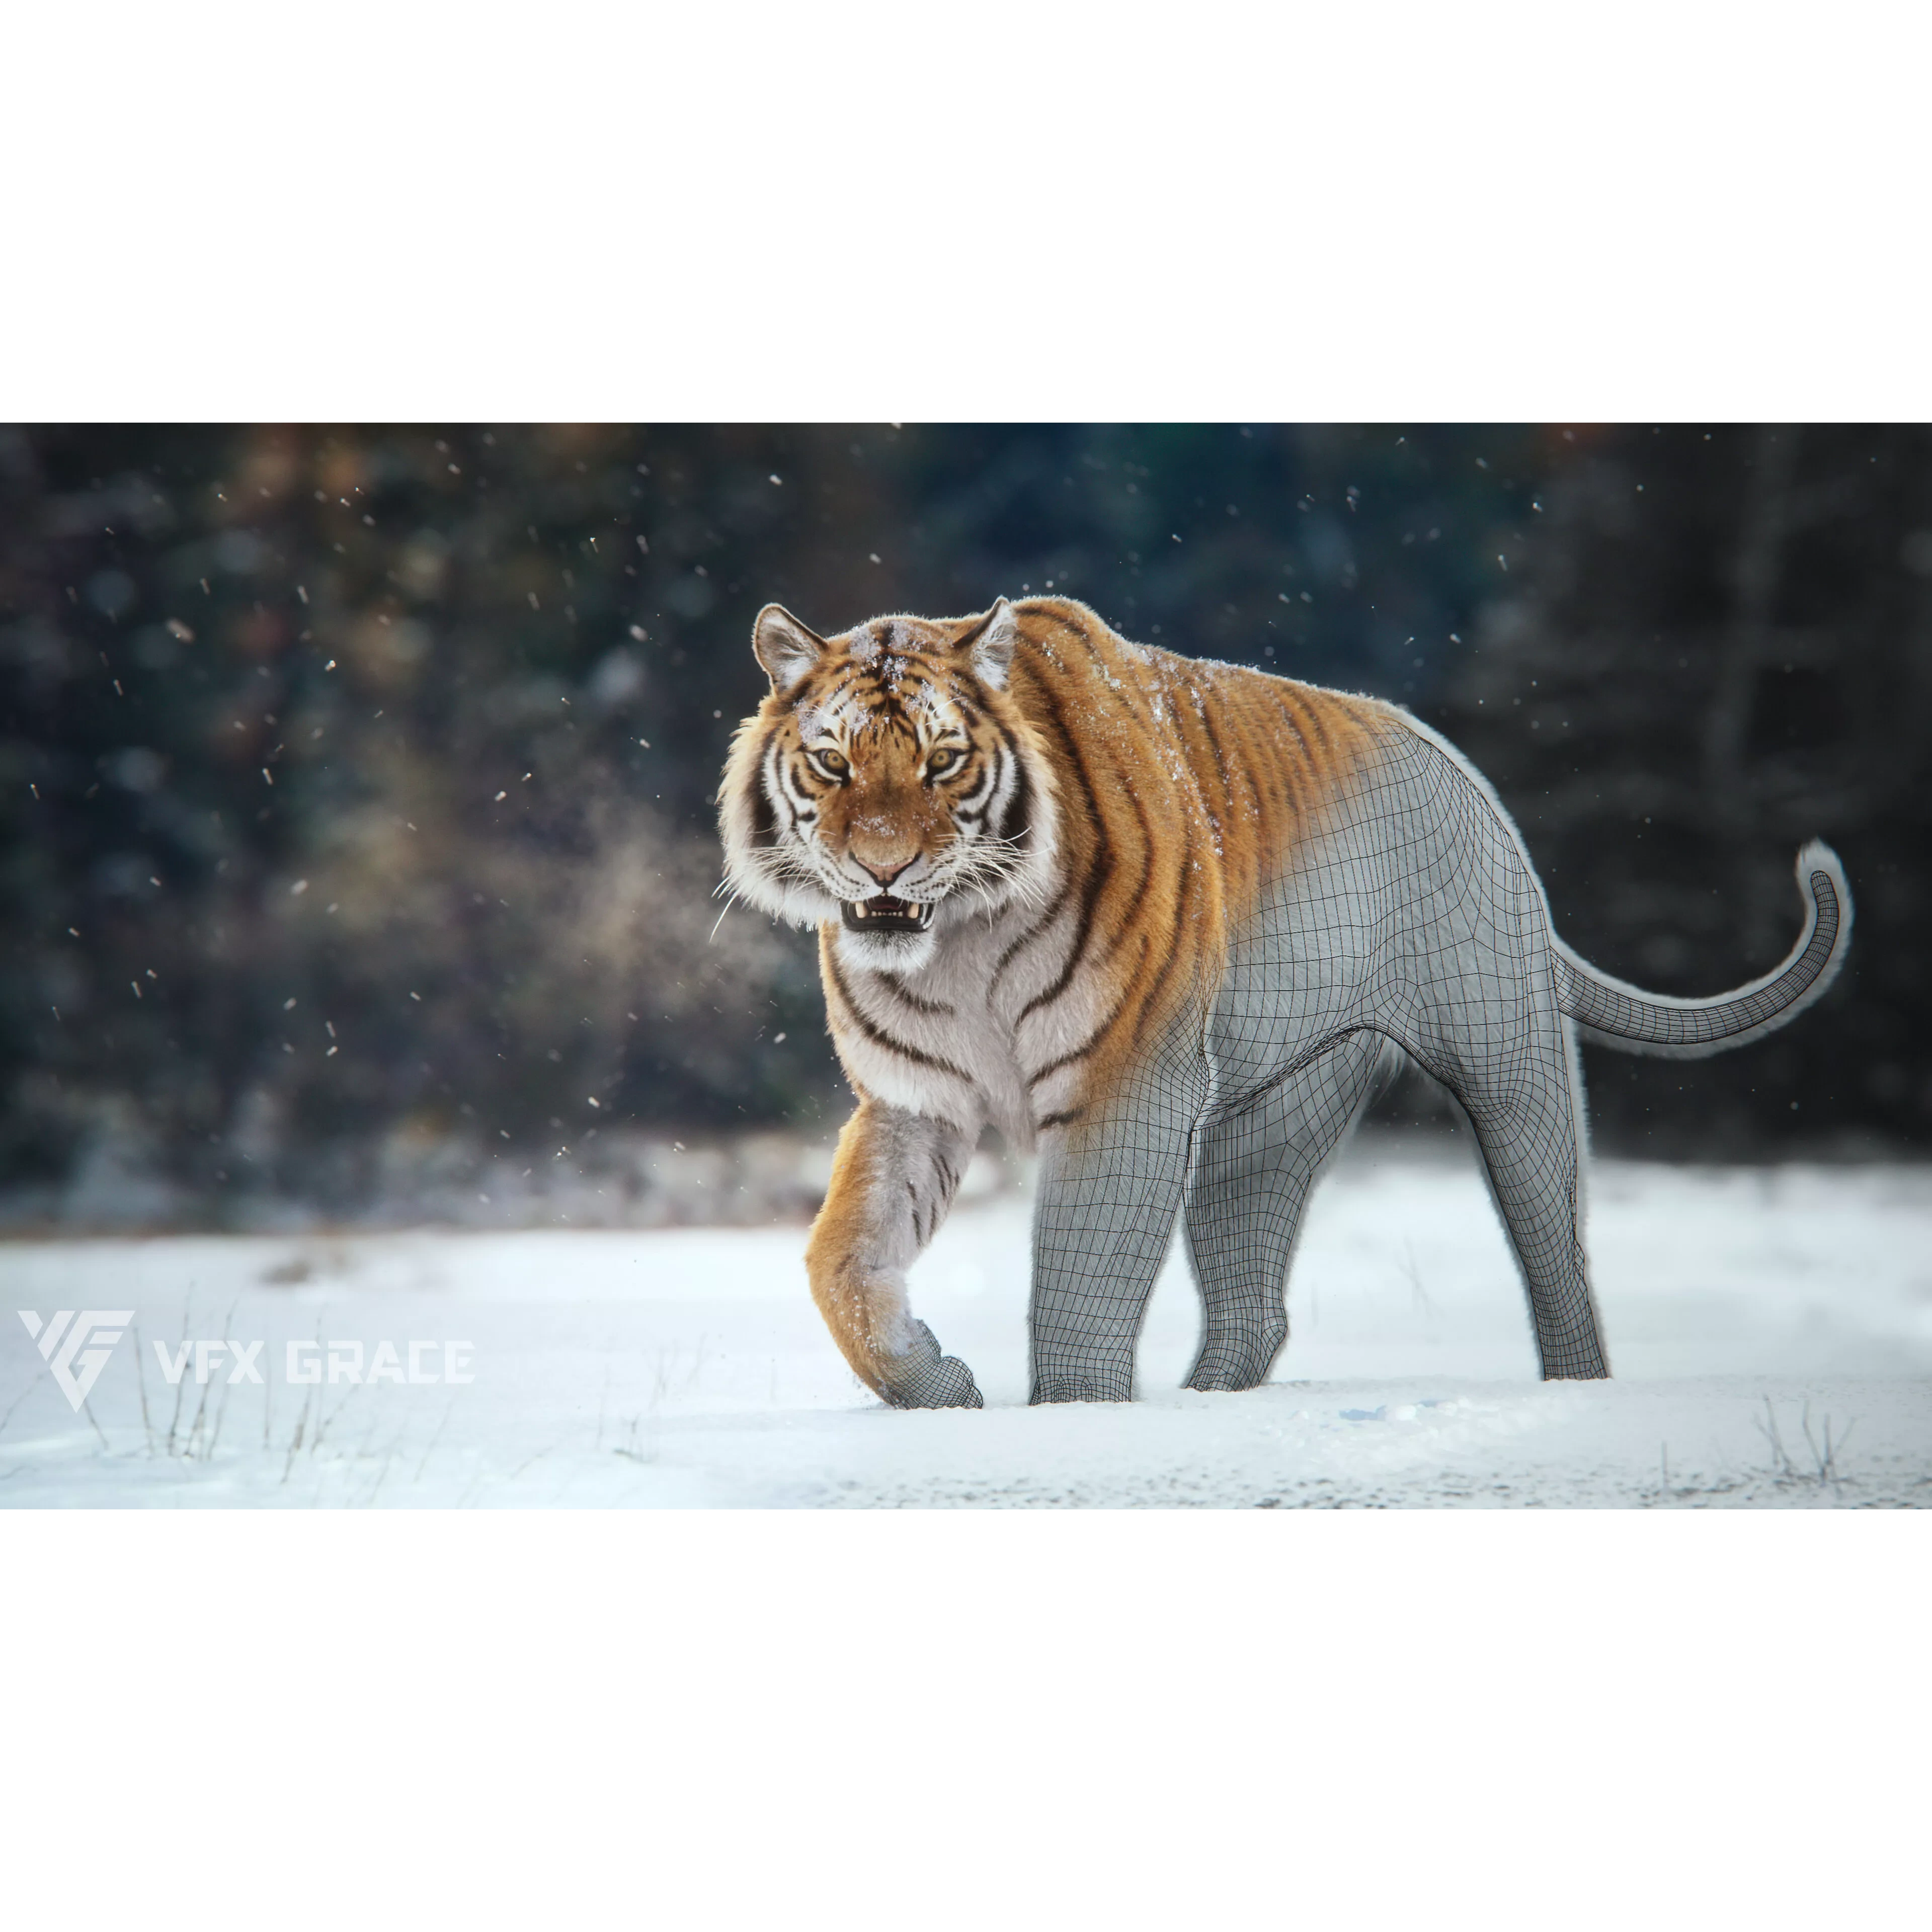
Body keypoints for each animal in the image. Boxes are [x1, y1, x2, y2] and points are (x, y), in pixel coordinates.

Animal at [717, 595, 1852, 1408]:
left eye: (943, 761)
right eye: (833, 763)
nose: (884, 864)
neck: (959, 940)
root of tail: (1466, 774)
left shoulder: (1126, 1090)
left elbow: (1081, 1280)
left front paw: (1074, 1420)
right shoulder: (919, 1098)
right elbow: (841, 1260)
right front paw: (938, 1384)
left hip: (1507, 1059)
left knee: (1558, 1257)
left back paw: (1581, 1390)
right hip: (1264, 1120)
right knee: (1255, 1306)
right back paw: (1208, 1406)